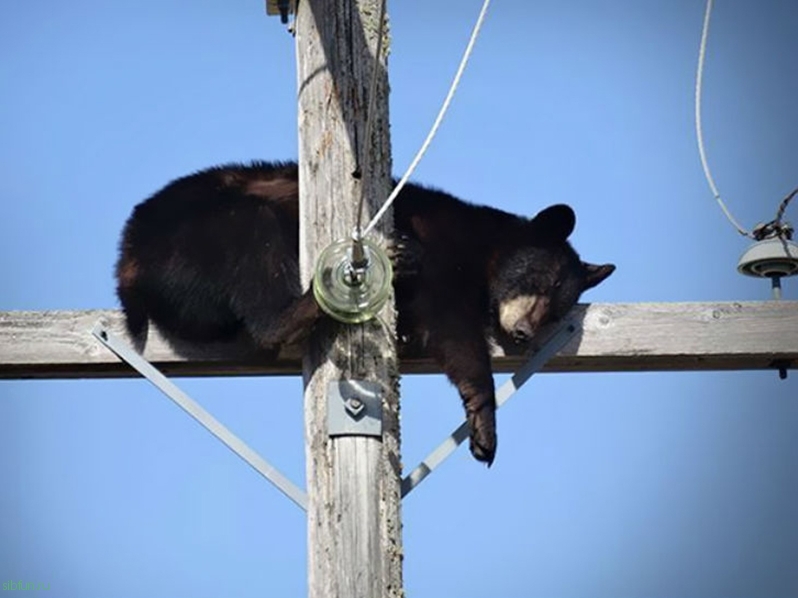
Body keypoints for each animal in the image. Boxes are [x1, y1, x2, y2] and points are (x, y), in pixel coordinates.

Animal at [115, 162, 616, 466]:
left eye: (558, 308)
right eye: (541, 281)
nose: (525, 332)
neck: (481, 251)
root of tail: (127, 260)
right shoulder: (445, 261)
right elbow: (455, 335)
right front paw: (484, 425)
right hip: (198, 236)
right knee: (253, 238)